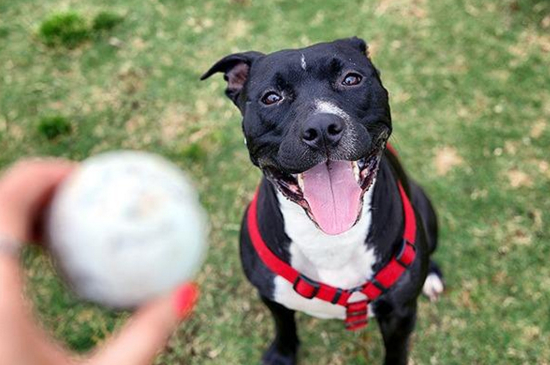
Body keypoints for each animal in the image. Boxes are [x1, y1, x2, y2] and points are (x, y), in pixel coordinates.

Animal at [202, 37, 444, 364]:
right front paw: (282, 354)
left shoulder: (400, 315)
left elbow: (396, 352)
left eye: (351, 79)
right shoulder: (271, 296)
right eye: (271, 97)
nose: (321, 128)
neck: (330, 239)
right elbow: (284, 325)